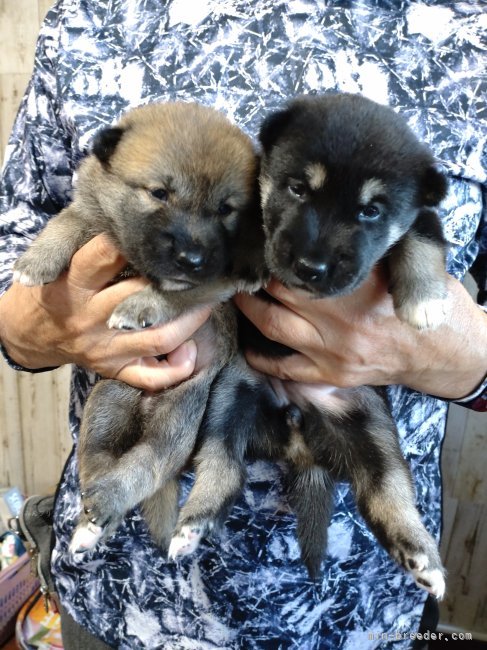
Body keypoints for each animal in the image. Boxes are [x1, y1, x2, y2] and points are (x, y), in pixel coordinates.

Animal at [14, 101, 266, 552]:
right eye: (159, 193)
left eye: (226, 209)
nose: (192, 257)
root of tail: (148, 405)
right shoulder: (93, 212)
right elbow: (66, 220)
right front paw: (35, 262)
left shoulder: (217, 278)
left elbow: (175, 294)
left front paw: (139, 307)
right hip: (106, 406)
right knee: (97, 466)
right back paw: (92, 524)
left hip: (185, 416)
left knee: (151, 466)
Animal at [168, 92, 450, 596]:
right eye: (298, 189)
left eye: (371, 211)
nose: (310, 268)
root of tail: (300, 429)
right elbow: (251, 219)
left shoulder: (419, 214)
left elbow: (423, 232)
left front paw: (425, 300)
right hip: (230, 396)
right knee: (223, 462)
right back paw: (193, 524)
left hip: (374, 424)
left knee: (386, 487)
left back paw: (420, 555)